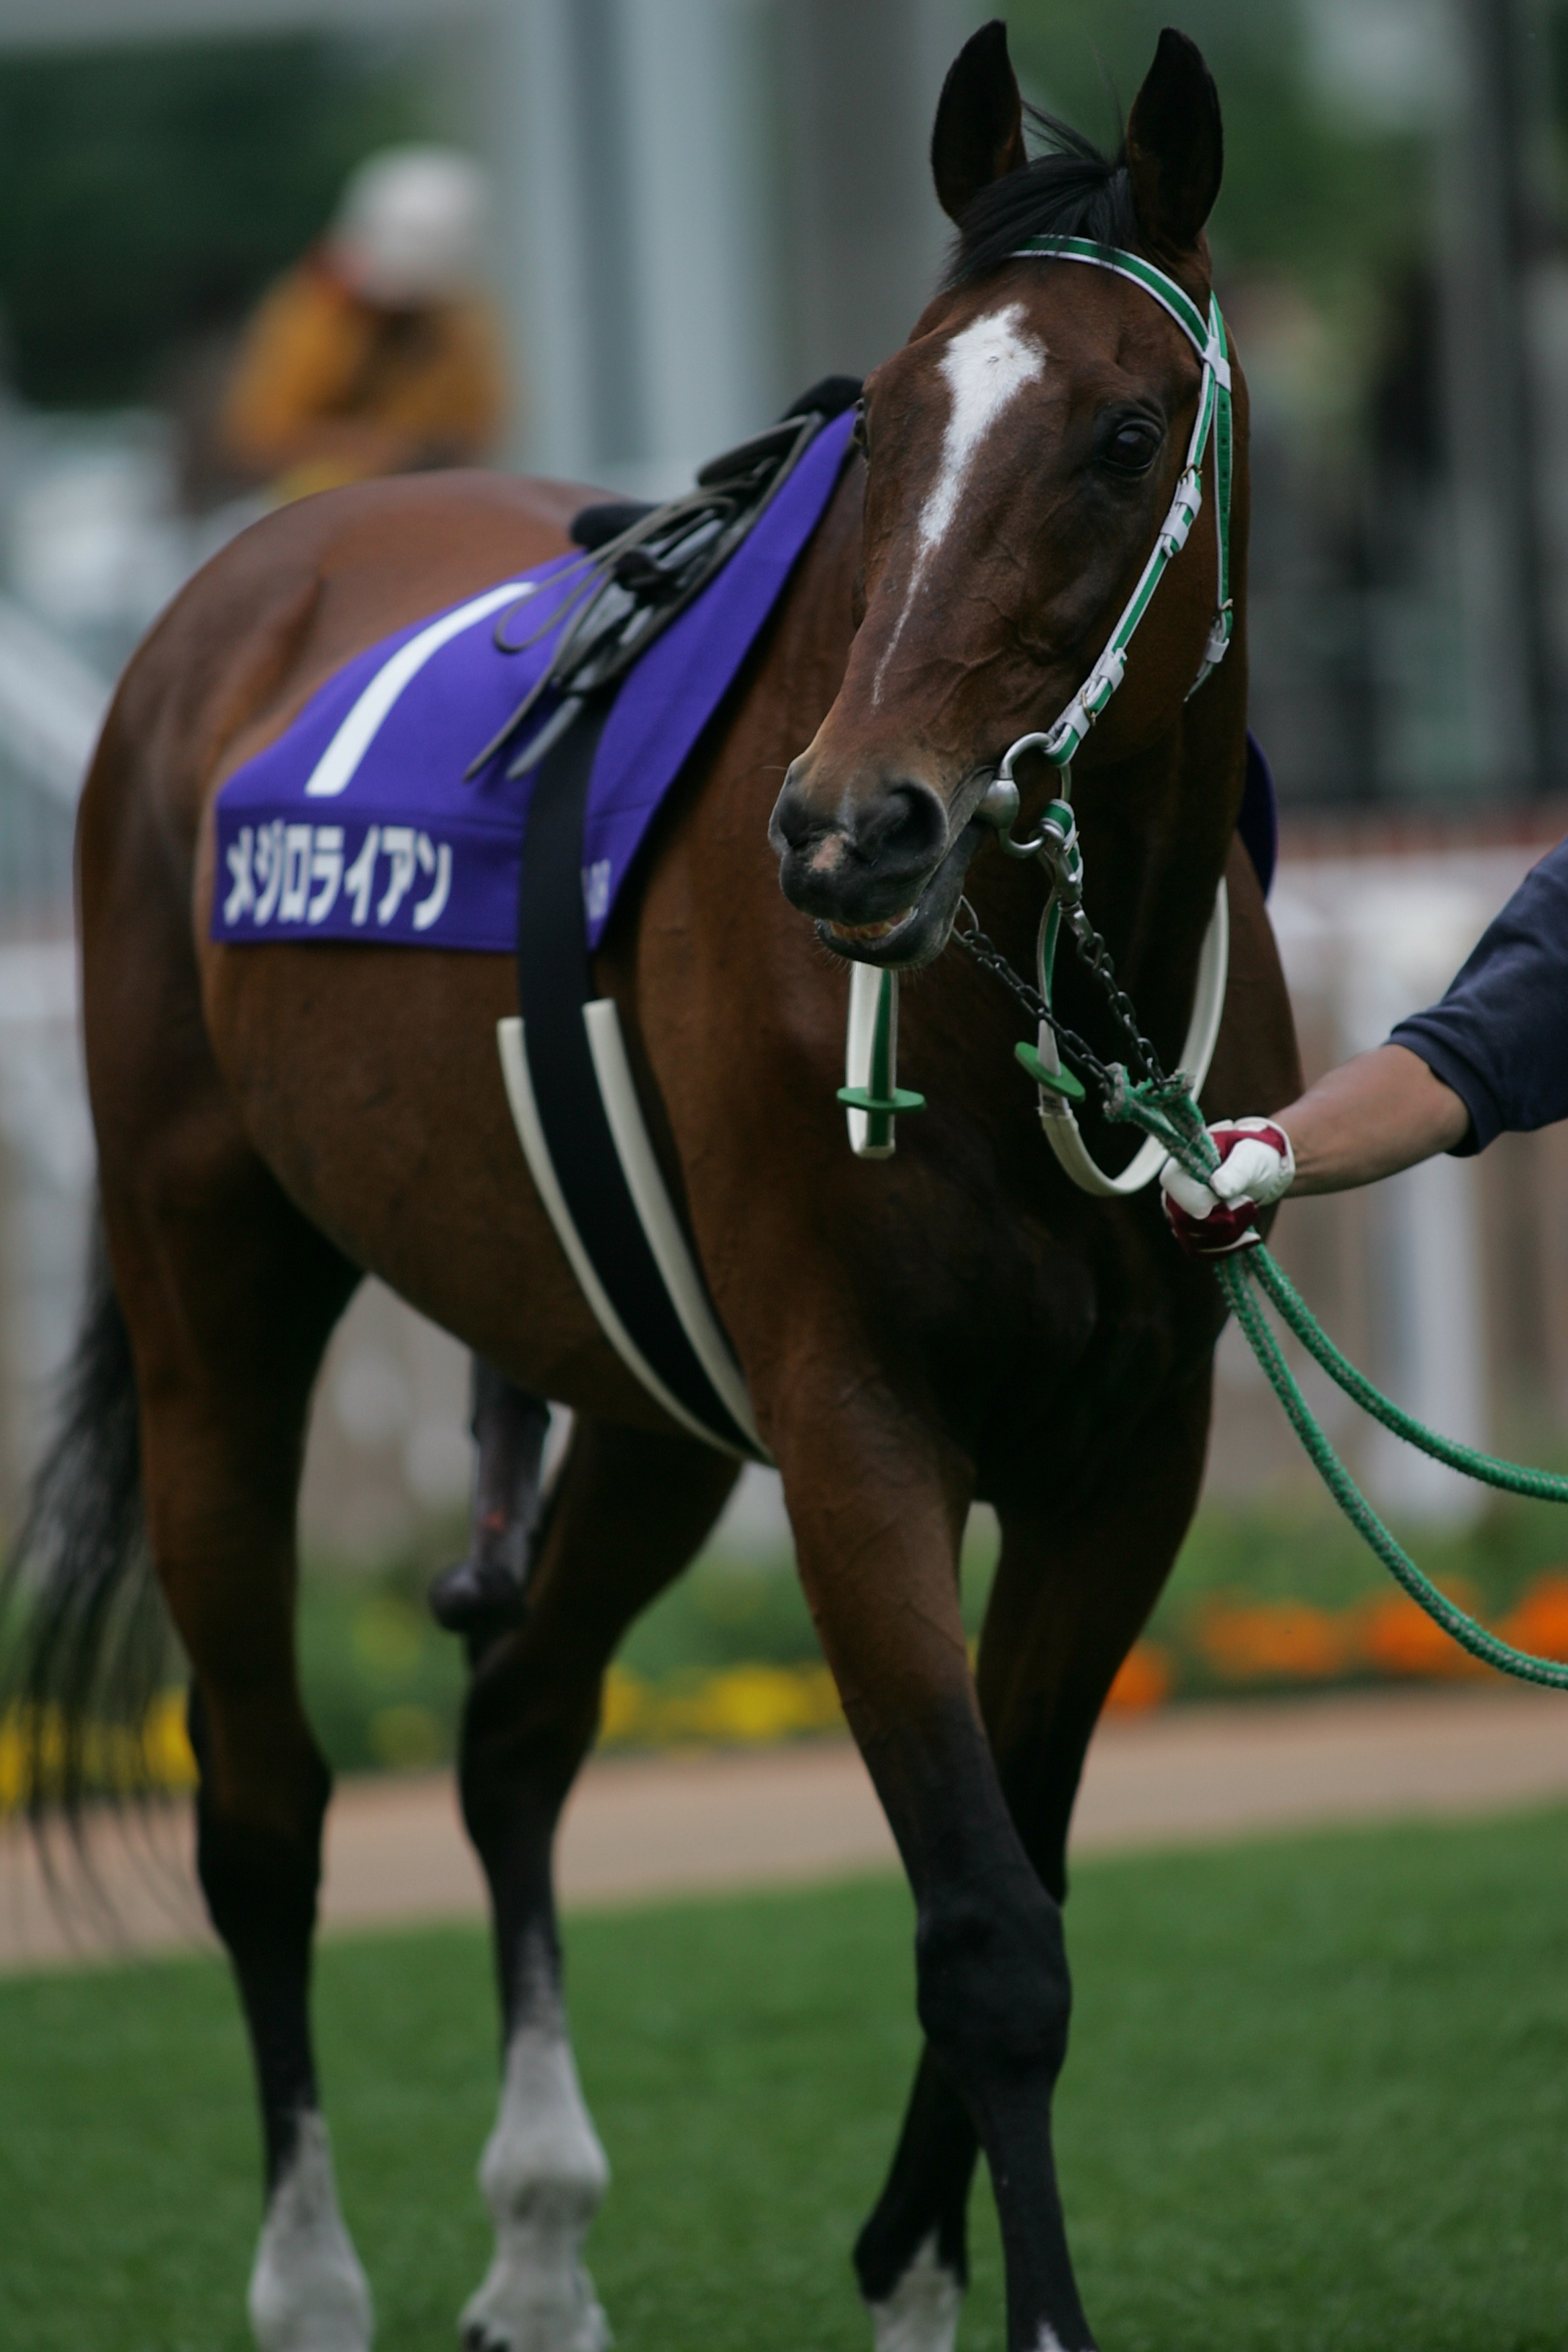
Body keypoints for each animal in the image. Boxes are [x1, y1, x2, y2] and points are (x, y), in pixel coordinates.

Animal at [10, 20, 1298, 2352]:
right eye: (887, 433)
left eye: (1123, 431)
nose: (856, 828)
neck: (1034, 997)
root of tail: (247, 581)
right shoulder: (858, 1428)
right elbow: (988, 1931)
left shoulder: (1126, 1462)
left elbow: (1031, 1865)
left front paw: (910, 2269)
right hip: (206, 1303)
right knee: (262, 1807)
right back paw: (311, 2279)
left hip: (632, 1389)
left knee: (514, 1727)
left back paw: (537, 2240)